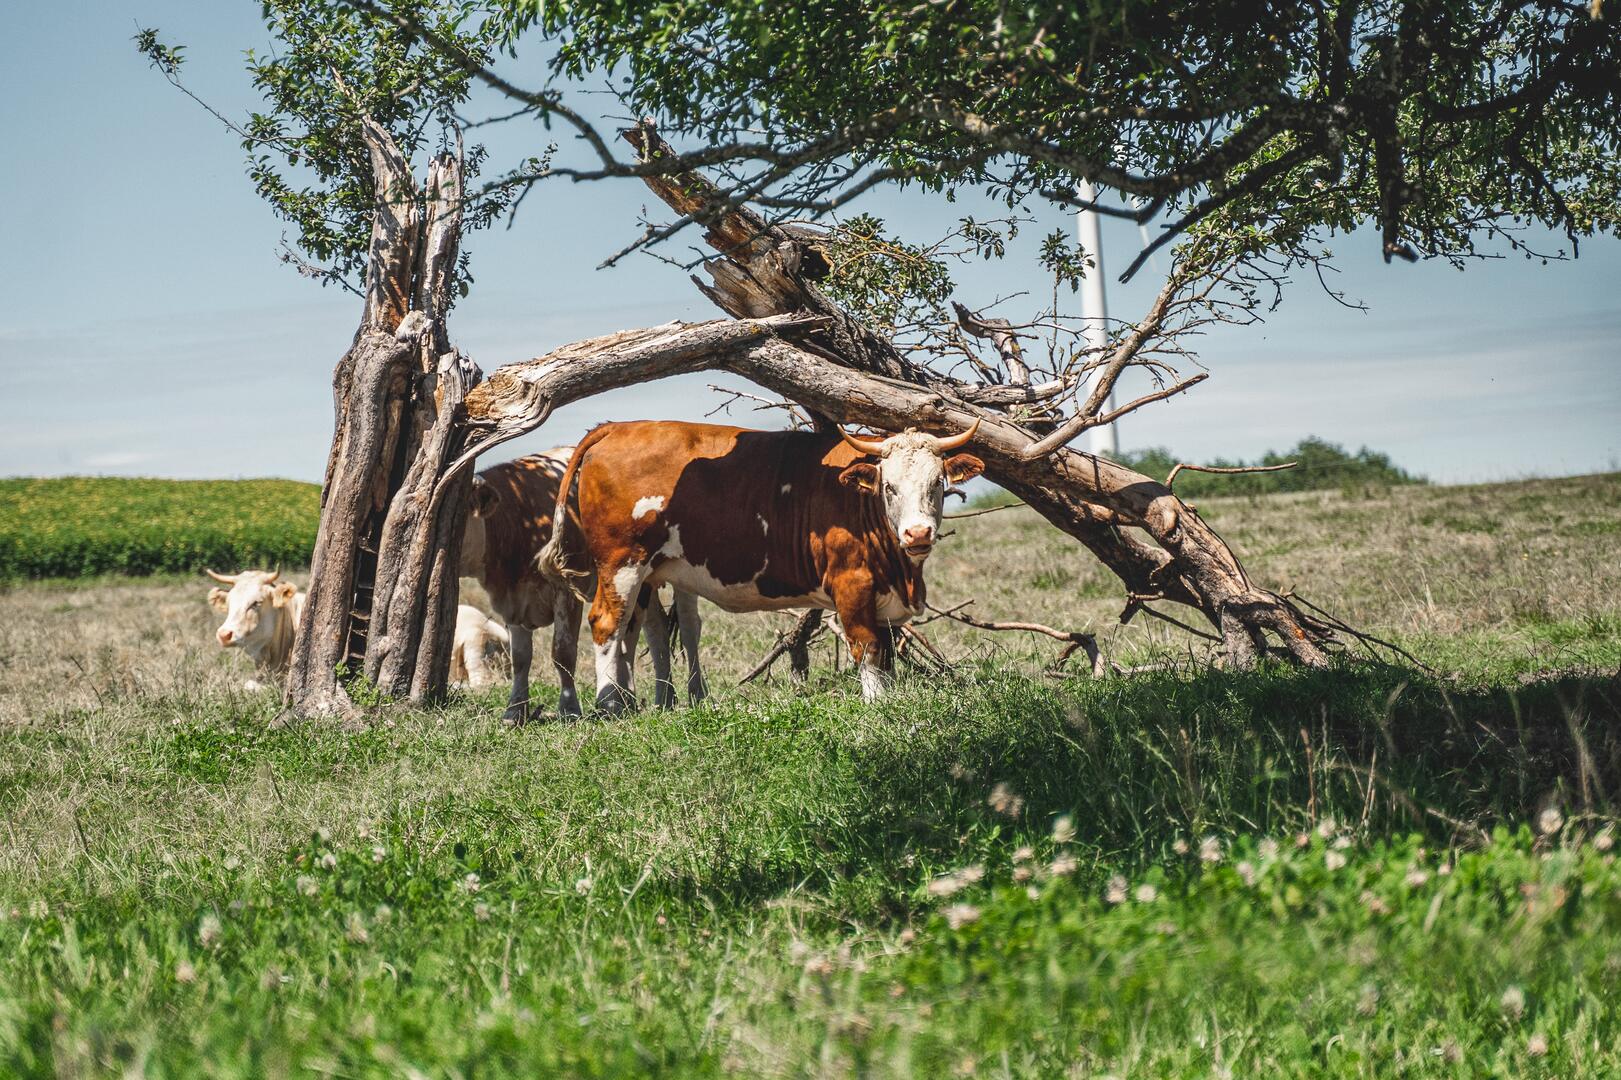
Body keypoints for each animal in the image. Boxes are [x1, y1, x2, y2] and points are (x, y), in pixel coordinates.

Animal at [538, 418, 979, 707]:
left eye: (937, 484)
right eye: (889, 488)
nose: (918, 534)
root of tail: (619, 426)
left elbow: (885, 652)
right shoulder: (852, 584)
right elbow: (866, 647)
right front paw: (877, 703)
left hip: (647, 572)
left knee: (641, 628)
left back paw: (647, 701)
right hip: (621, 564)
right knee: (606, 623)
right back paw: (611, 704)